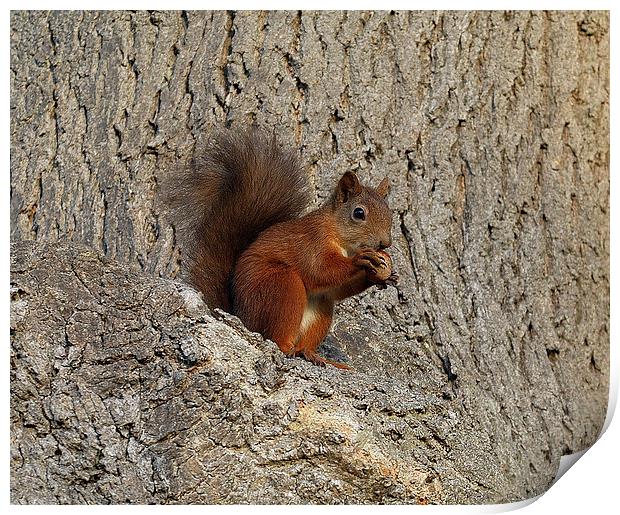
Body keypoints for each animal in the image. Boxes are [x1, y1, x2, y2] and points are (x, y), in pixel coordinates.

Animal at [166, 129, 398, 370]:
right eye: (359, 213)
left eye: (390, 212)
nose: (385, 243)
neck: (341, 240)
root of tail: (244, 318)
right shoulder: (312, 242)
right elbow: (320, 271)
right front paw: (361, 260)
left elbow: (336, 289)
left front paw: (381, 277)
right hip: (280, 286)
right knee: (277, 337)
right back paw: (289, 348)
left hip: (320, 307)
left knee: (312, 327)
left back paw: (315, 355)